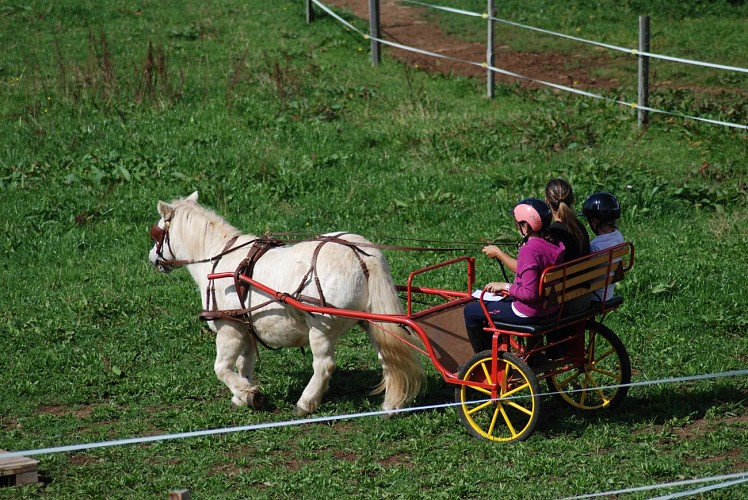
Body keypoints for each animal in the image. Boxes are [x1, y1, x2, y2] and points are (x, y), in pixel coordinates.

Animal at [149, 193, 424, 416]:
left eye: (158, 232)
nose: (152, 258)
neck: (219, 259)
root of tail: (360, 253)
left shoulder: (229, 329)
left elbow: (221, 368)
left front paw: (248, 394)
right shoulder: (246, 327)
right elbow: (244, 364)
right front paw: (243, 395)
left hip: (321, 328)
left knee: (324, 365)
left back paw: (306, 403)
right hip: (373, 322)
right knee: (390, 356)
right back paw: (391, 404)